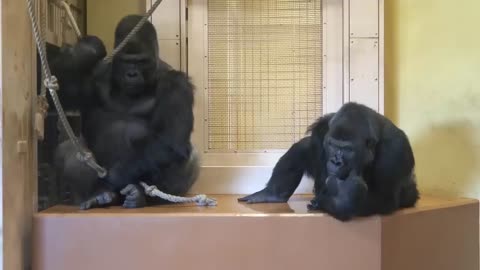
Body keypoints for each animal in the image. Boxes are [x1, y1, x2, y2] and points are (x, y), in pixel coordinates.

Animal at [50, 14, 197, 209]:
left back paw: (139, 196)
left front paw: (116, 176)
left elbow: (171, 140)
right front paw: (87, 50)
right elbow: (59, 95)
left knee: (185, 155)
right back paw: (97, 195)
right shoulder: (96, 74)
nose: (132, 74)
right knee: (70, 148)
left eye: (141, 61)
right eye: (127, 61)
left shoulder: (177, 83)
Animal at [240, 102, 420, 220]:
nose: (335, 161)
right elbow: (313, 155)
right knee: (303, 147)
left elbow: (383, 197)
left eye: (348, 149)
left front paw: (342, 198)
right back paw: (273, 194)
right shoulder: (322, 129)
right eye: (333, 145)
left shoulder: (396, 150)